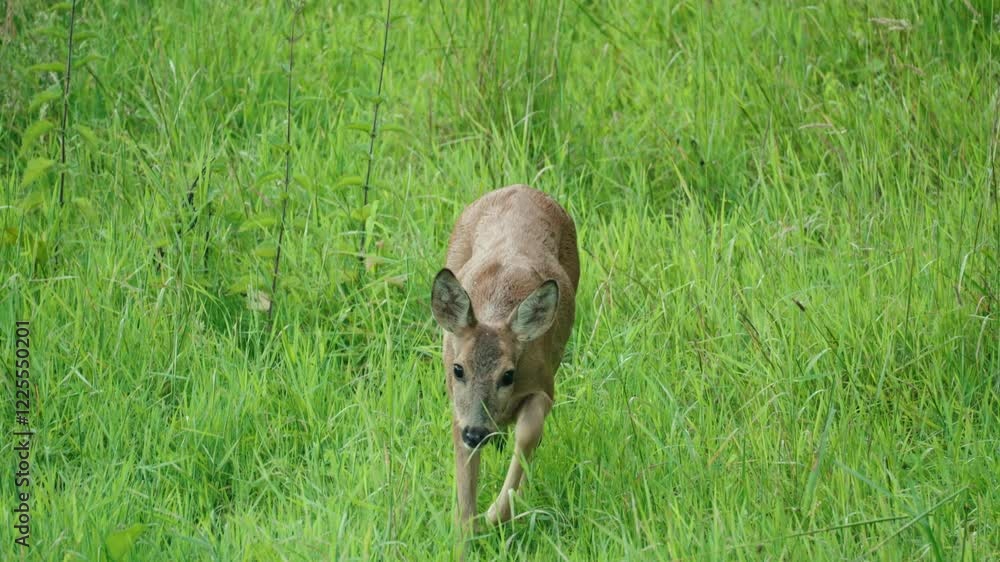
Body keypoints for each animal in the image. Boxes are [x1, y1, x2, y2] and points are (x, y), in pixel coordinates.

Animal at [430, 184, 579, 529]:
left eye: (508, 374)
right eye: (458, 369)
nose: (476, 433)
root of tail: (521, 187)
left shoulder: (544, 384)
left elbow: (529, 433)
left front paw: (497, 513)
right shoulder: (459, 404)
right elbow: (464, 463)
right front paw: (467, 527)